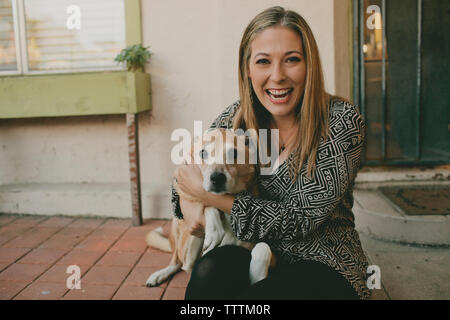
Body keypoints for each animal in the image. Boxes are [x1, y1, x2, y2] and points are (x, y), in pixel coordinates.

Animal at [146, 128, 276, 288]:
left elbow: (263, 247)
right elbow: (208, 205)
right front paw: (214, 230)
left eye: (233, 153)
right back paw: (160, 274)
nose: (217, 178)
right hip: (181, 233)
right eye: (203, 153)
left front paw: (257, 277)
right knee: (177, 260)